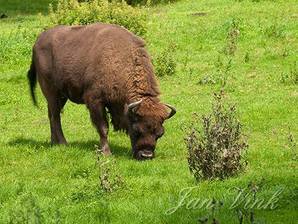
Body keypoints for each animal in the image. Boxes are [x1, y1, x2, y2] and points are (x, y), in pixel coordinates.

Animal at [27, 22, 176, 159]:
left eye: (160, 133)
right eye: (136, 130)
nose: (146, 155)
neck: (120, 61)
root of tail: (37, 42)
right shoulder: (95, 101)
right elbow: (103, 128)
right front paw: (106, 153)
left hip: (61, 96)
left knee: (52, 114)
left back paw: (54, 142)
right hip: (51, 91)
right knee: (55, 116)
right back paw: (63, 143)